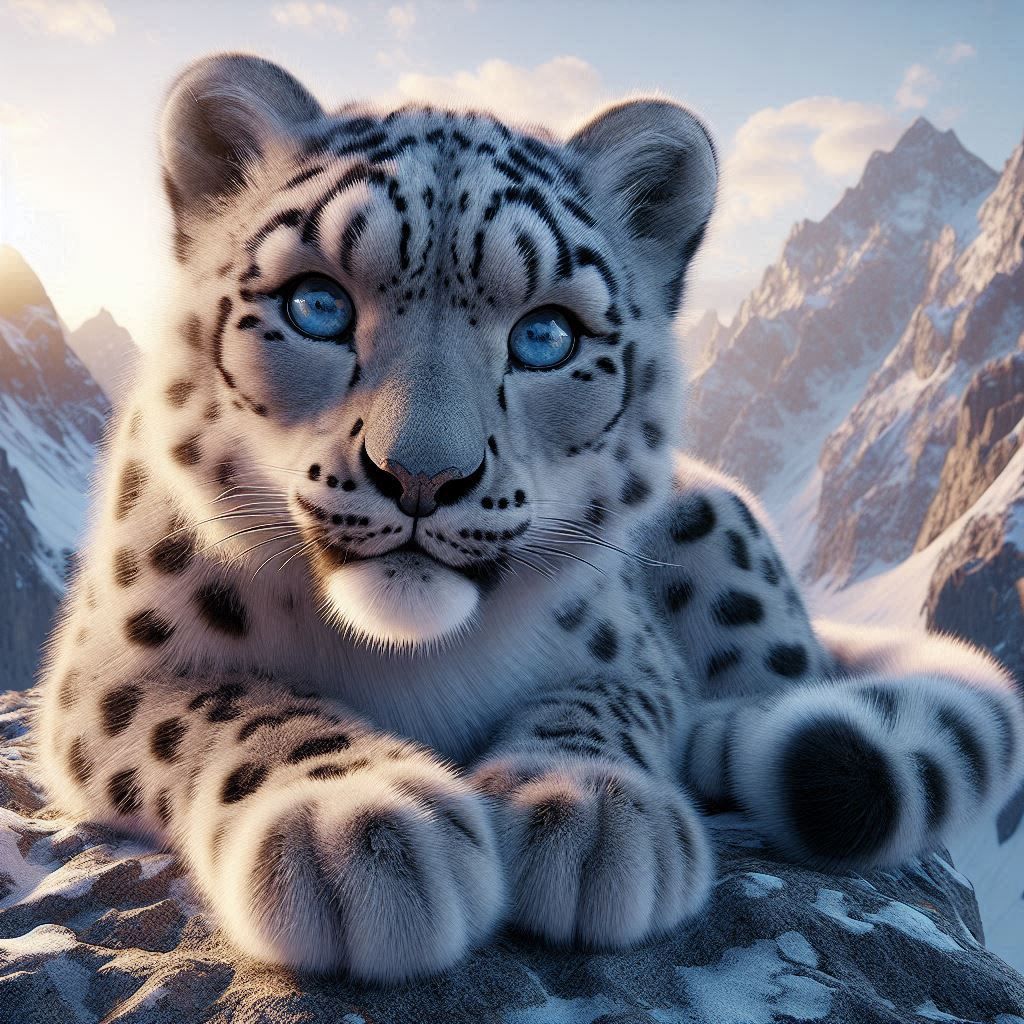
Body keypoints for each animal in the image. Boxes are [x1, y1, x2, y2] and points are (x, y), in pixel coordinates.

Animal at [33, 53, 1024, 983]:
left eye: (546, 336)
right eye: (315, 305)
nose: (422, 476)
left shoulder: (633, 653)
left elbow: (601, 701)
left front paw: (586, 811)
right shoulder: (109, 663)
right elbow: (234, 703)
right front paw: (364, 826)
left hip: (714, 524)